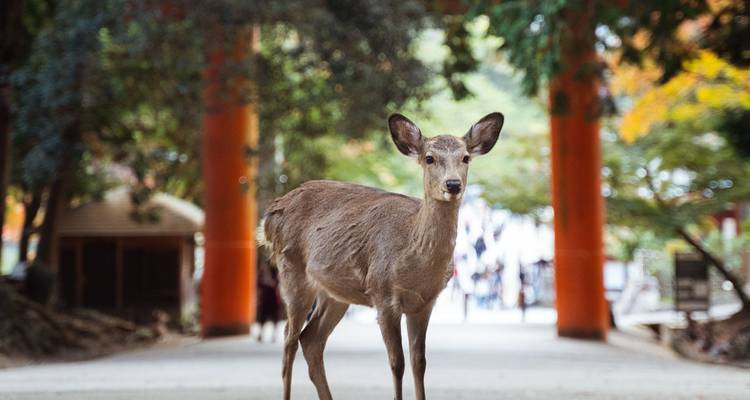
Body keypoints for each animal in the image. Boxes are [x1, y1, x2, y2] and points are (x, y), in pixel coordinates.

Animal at [260, 112, 504, 400]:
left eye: (466, 157)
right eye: (429, 157)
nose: (453, 184)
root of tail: (271, 214)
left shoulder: (425, 302)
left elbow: (419, 362)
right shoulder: (383, 293)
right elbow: (397, 362)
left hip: (335, 293)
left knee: (310, 339)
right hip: (292, 271)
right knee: (289, 341)